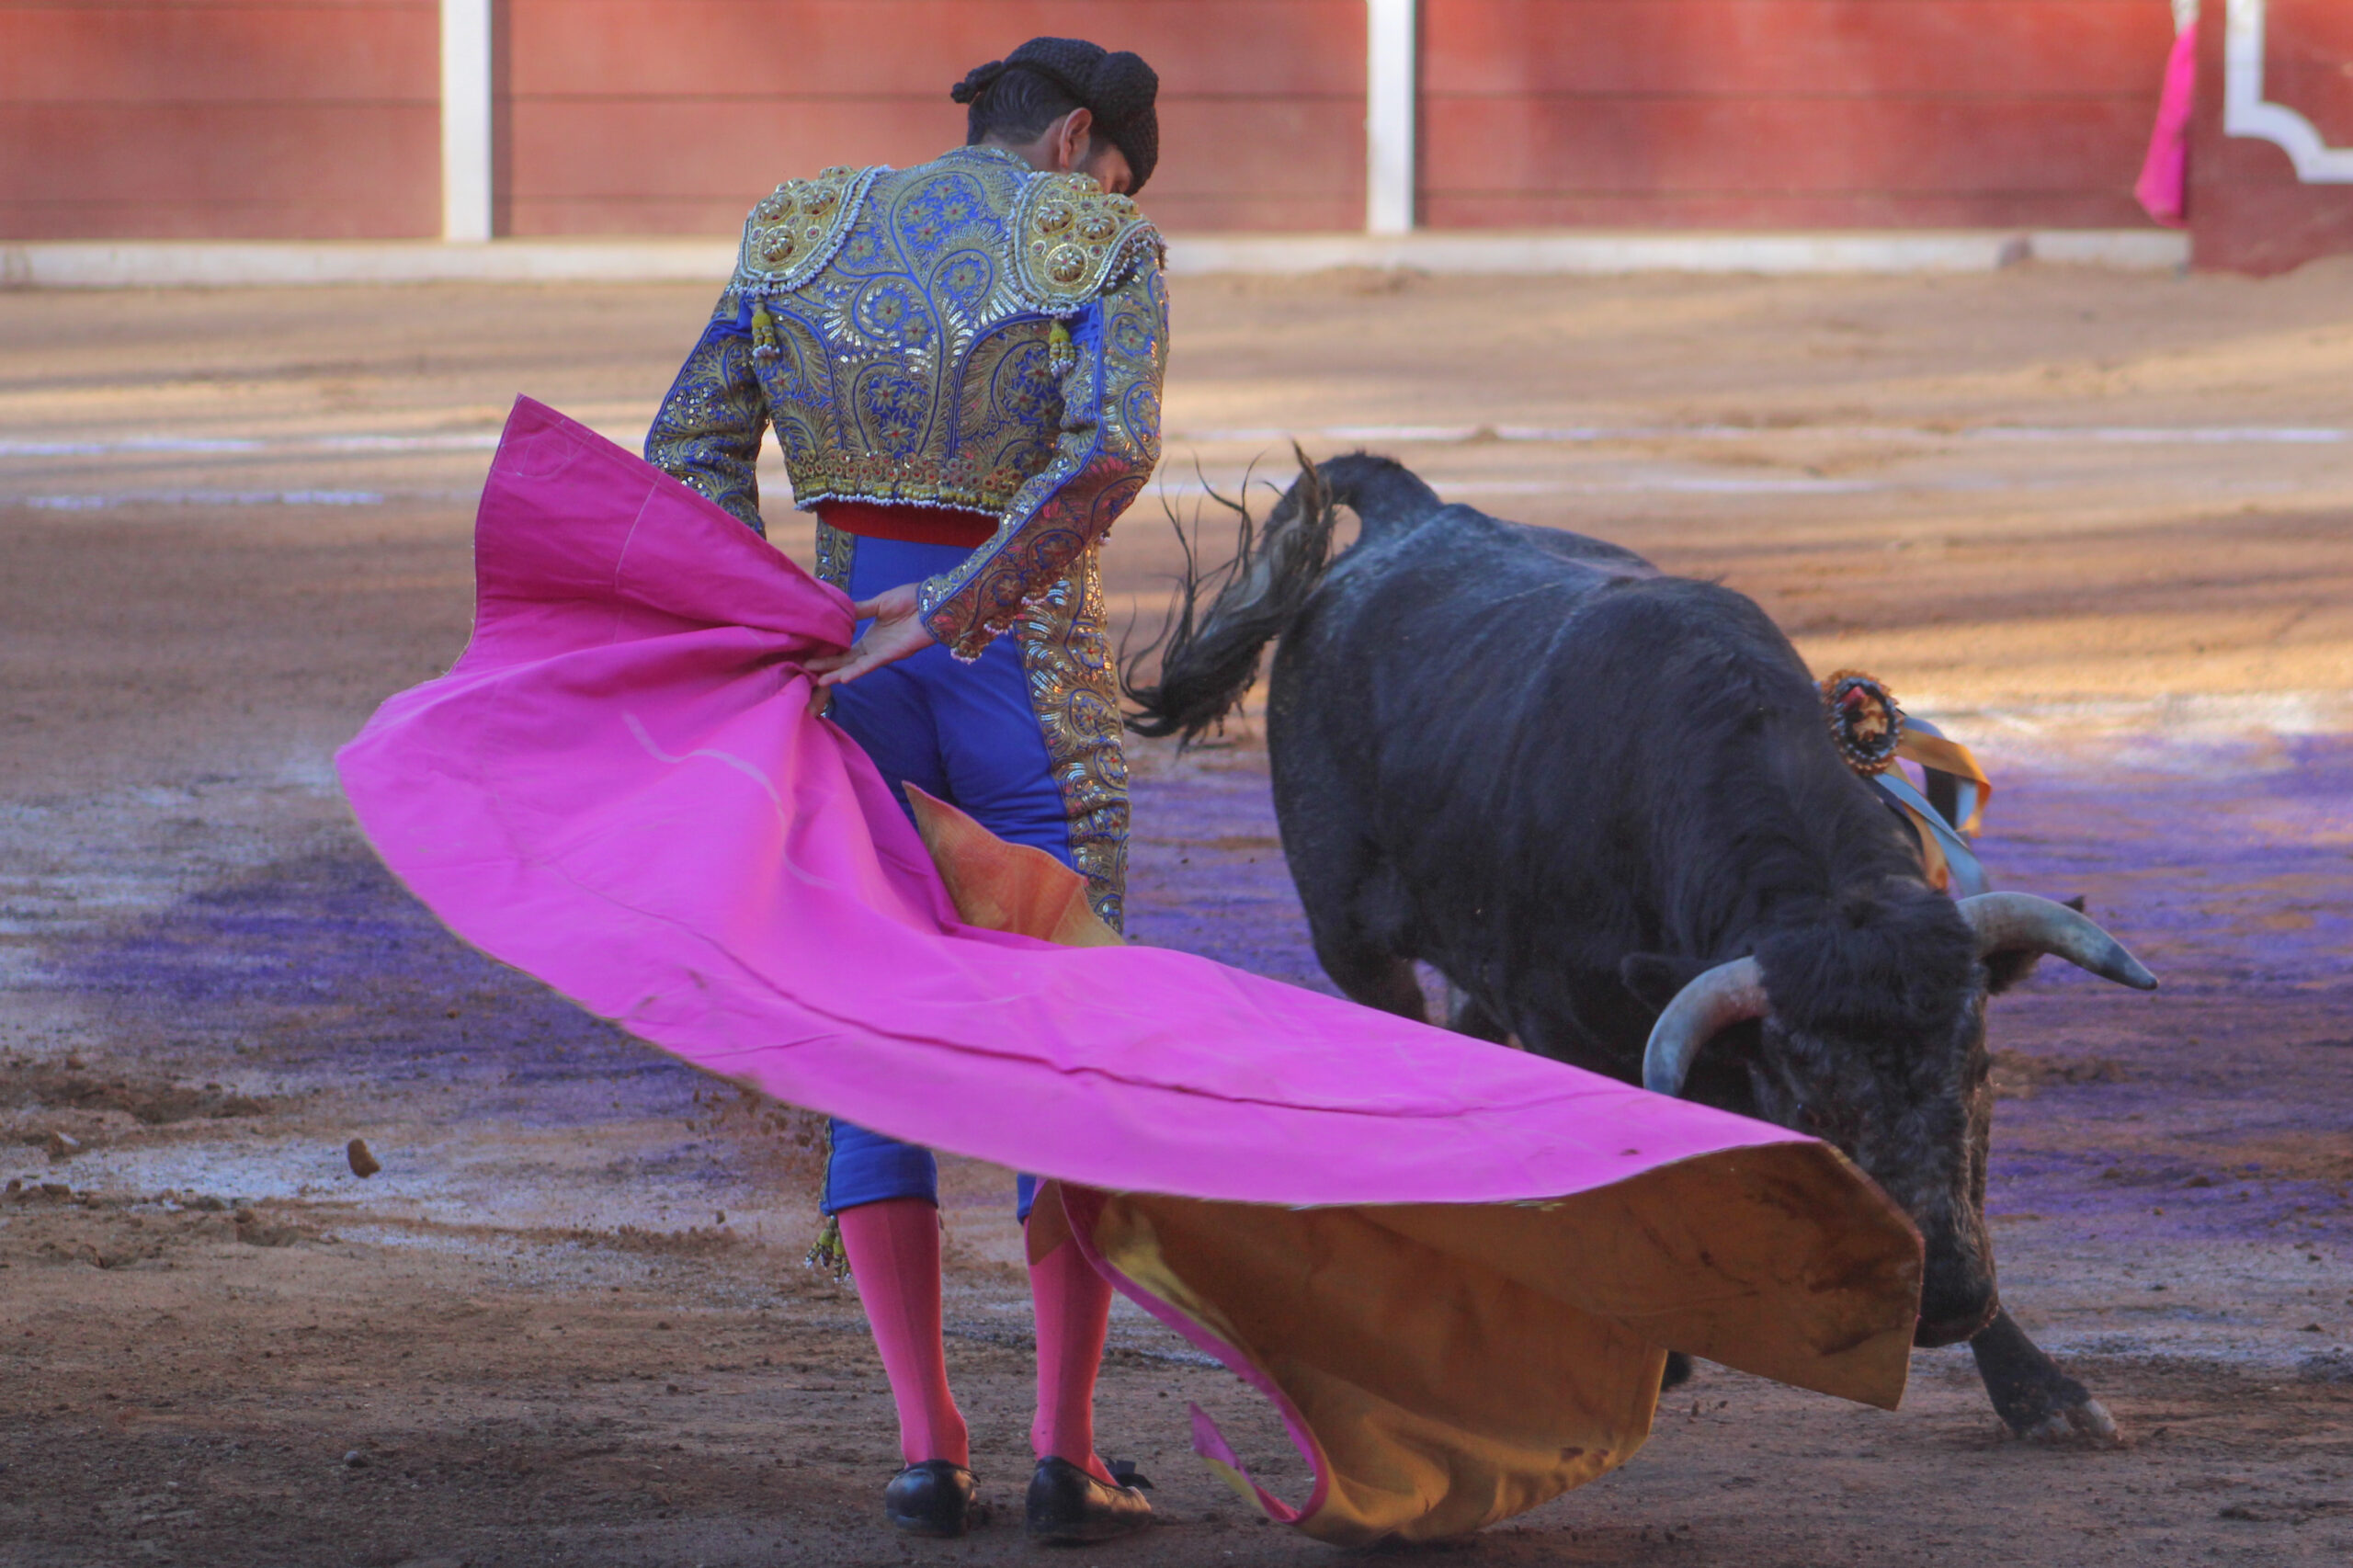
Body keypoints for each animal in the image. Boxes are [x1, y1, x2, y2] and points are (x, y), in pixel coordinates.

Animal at [1129, 445, 2154, 1431]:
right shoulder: (1569, 1022)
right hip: (1347, 930)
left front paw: (2039, 1390)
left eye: (1978, 1069)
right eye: (1813, 1100)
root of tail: (1411, 513)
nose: (1945, 1300)